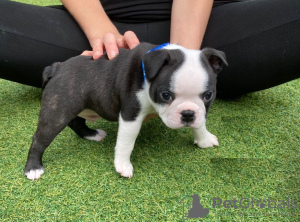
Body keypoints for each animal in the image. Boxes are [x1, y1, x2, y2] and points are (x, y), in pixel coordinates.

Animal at [24, 42, 227, 180]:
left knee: (76, 122)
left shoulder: (200, 110)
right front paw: (122, 165)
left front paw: (204, 139)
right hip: (57, 110)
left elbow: (200, 123)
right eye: (166, 95)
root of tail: (57, 67)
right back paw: (33, 168)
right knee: (40, 138)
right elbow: (126, 142)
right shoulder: (131, 115)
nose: (187, 114)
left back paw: (91, 134)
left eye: (208, 95)